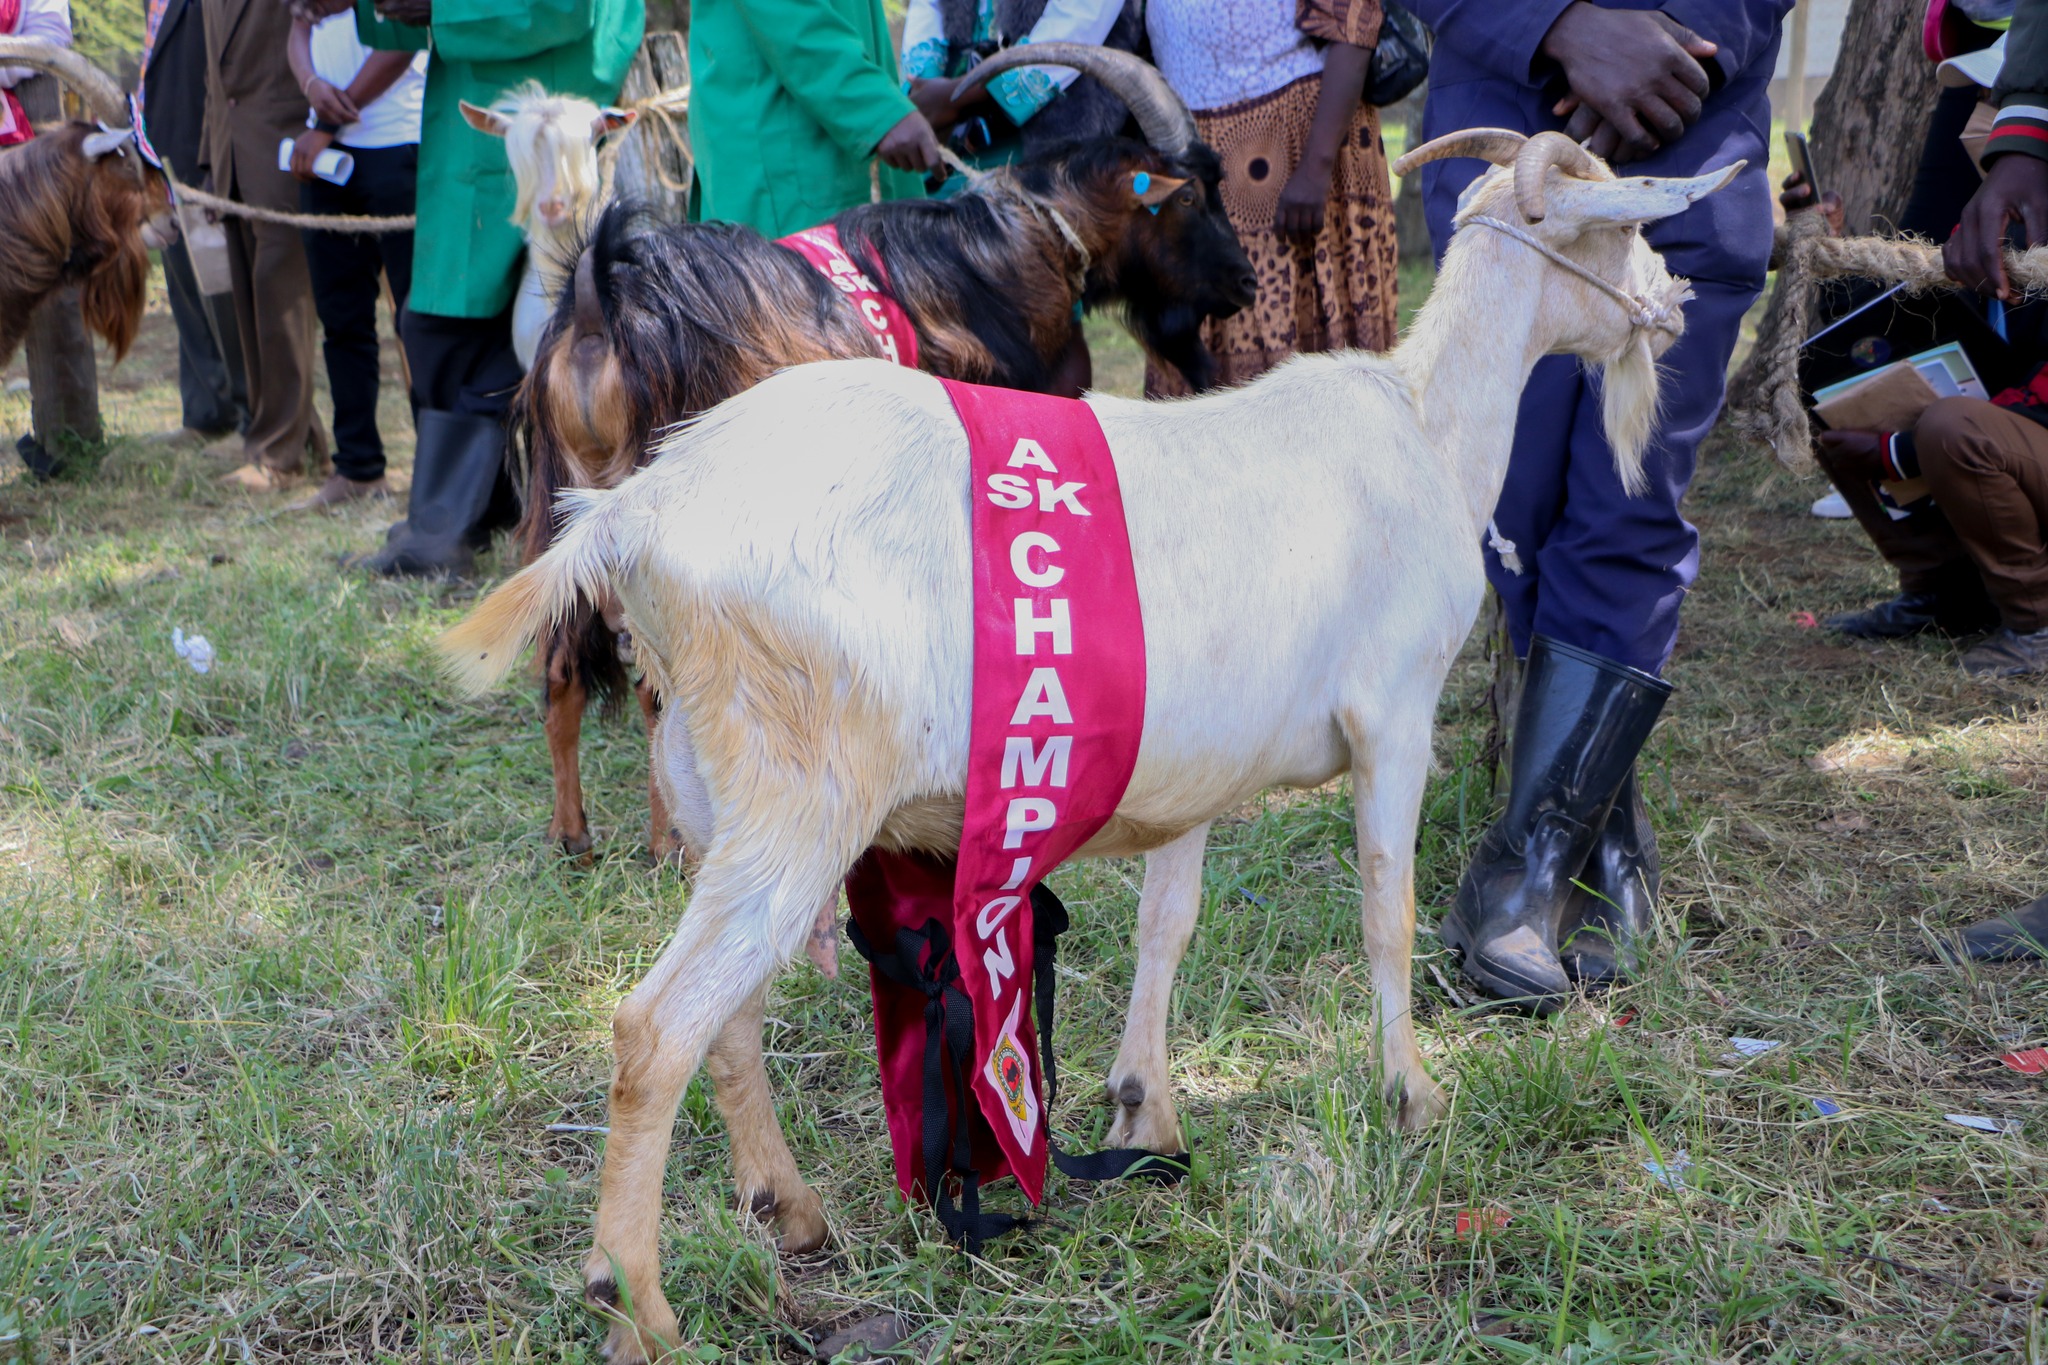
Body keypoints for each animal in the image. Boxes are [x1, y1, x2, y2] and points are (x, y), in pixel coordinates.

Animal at [440, 130, 1736, 1365]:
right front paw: (1410, 1097)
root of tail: (635, 514)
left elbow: (1169, 925)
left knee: (730, 1020)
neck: (1426, 428)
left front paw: (1142, 1110)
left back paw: (792, 1213)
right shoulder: (1394, 714)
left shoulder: (1201, 767)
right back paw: (635, 1306)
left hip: (715, 795)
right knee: (654, 1028)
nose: (1674, 302)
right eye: (1618, 229)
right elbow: (1386, 909)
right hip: (799, 795)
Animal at [512, 42, 1253, 859]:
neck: (1017, 247)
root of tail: (597, 307)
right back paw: (671, 840)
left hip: (561, 509)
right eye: (1190, 198)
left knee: (561, 666)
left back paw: (573, 834)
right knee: (654, 681)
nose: (1244, 281)